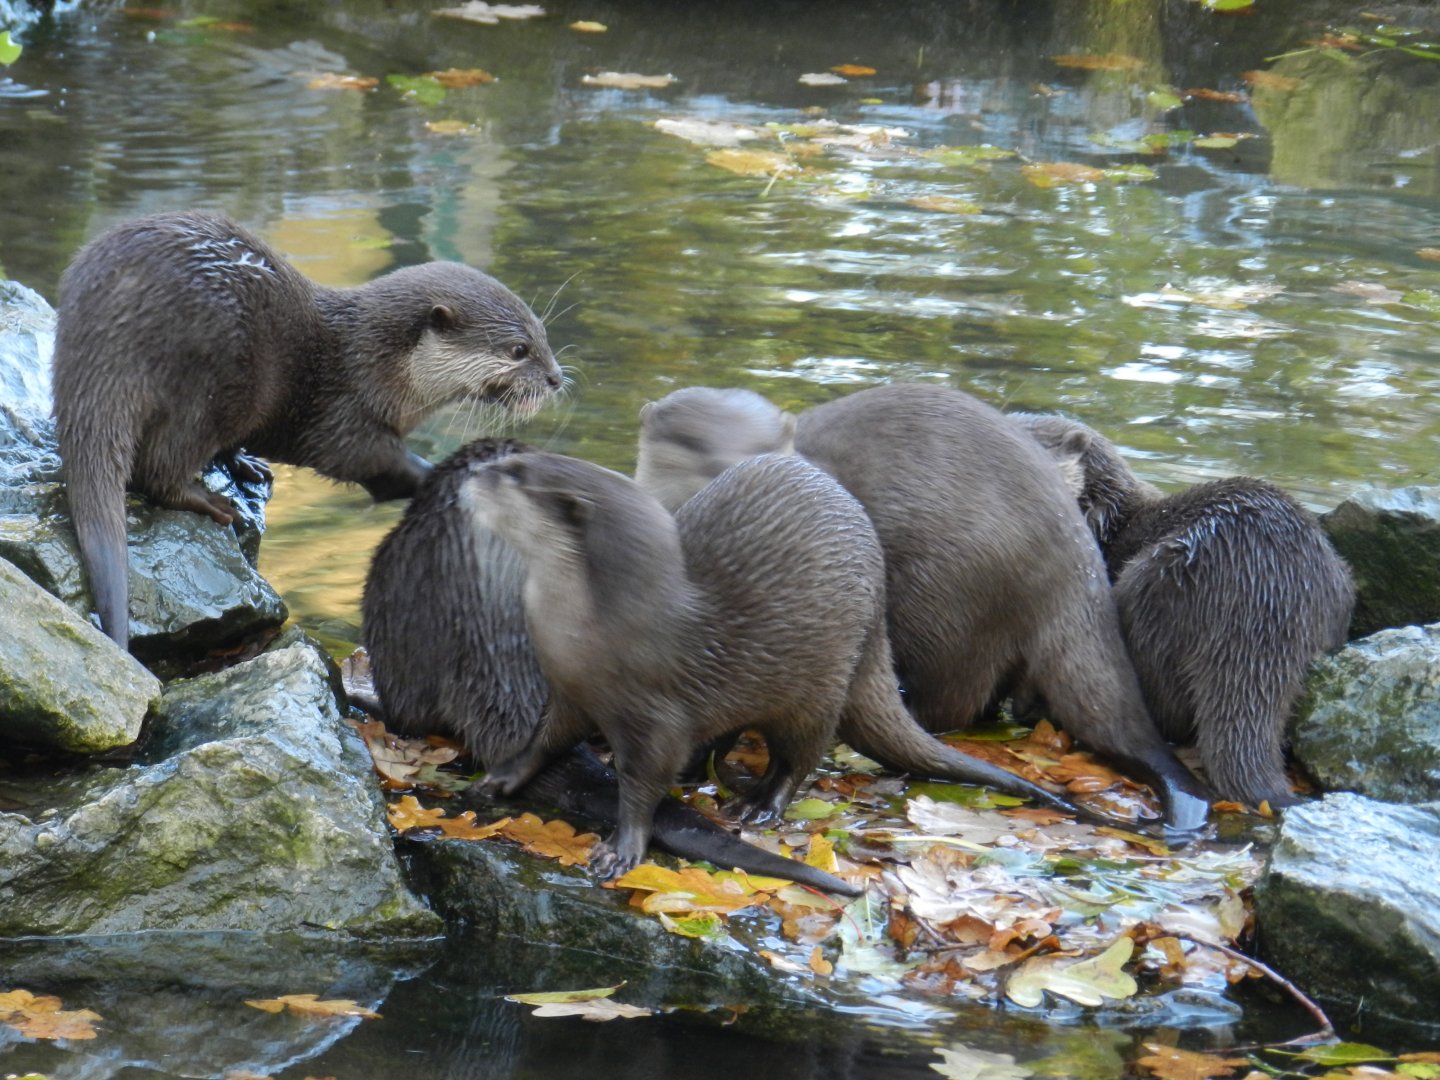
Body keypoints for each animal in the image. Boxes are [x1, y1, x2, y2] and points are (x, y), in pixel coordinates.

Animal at [52, 210, 562, 649]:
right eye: (518, 350)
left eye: (543, 335)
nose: (557, 378)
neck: (377, 366)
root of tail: (104, 328)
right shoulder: (345, 414)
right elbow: (365, 459)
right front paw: (440, 475)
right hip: (210, 380)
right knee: (158, 467)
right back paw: (210, 501)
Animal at [361, 439, 861, 895]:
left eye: (515, 473)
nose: (474, 474)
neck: (598, 633)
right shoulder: (567, 691)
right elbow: (545, 740)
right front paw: (504, 776)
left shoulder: (659, 719)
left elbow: (642, 784)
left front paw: (622, 848)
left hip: (821, 687)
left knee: (798, 754)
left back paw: (758, 804)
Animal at [635, 385, 1214, 837]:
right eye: (690, 444)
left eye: (761, 447)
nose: (733, 467)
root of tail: (1074, 558)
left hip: (945, 599)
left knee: (952, 703)